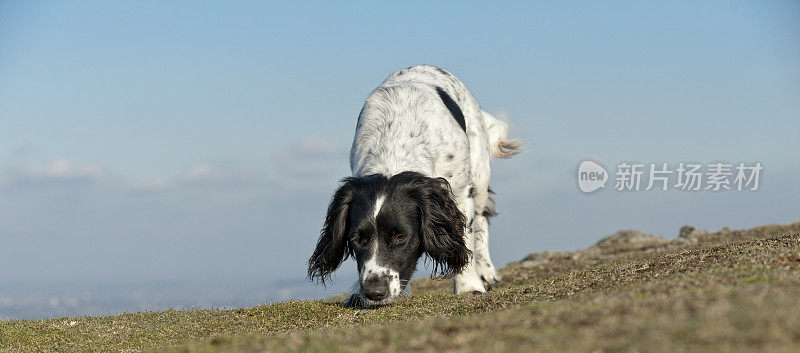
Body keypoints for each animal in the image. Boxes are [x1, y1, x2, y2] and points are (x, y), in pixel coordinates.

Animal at [306, 65, 520, 306]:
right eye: (357, 239)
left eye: (401, 237)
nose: (374, 292)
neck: (396, 148)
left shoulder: (460, 192)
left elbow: (466, 236)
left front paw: (469, 285)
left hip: (479, 169)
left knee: (482, 219)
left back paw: (486, 271)